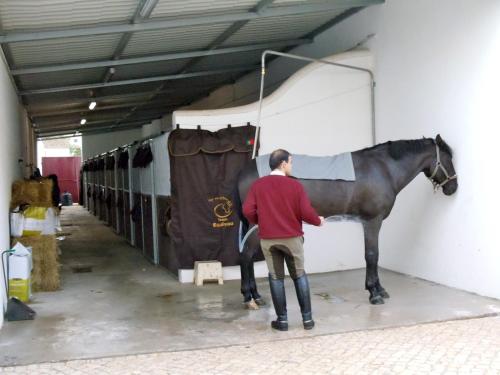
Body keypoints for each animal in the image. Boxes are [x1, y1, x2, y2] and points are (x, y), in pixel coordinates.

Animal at [238, 135, 458, 308]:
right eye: (448, 159)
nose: (453, 187)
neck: (383, 169)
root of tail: (243, 172)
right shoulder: (372, 221)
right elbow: (372, 255)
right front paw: (374, 293)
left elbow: (374, 255)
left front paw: (380, 289)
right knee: (246, 255)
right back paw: (251, 297)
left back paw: (253, 295)